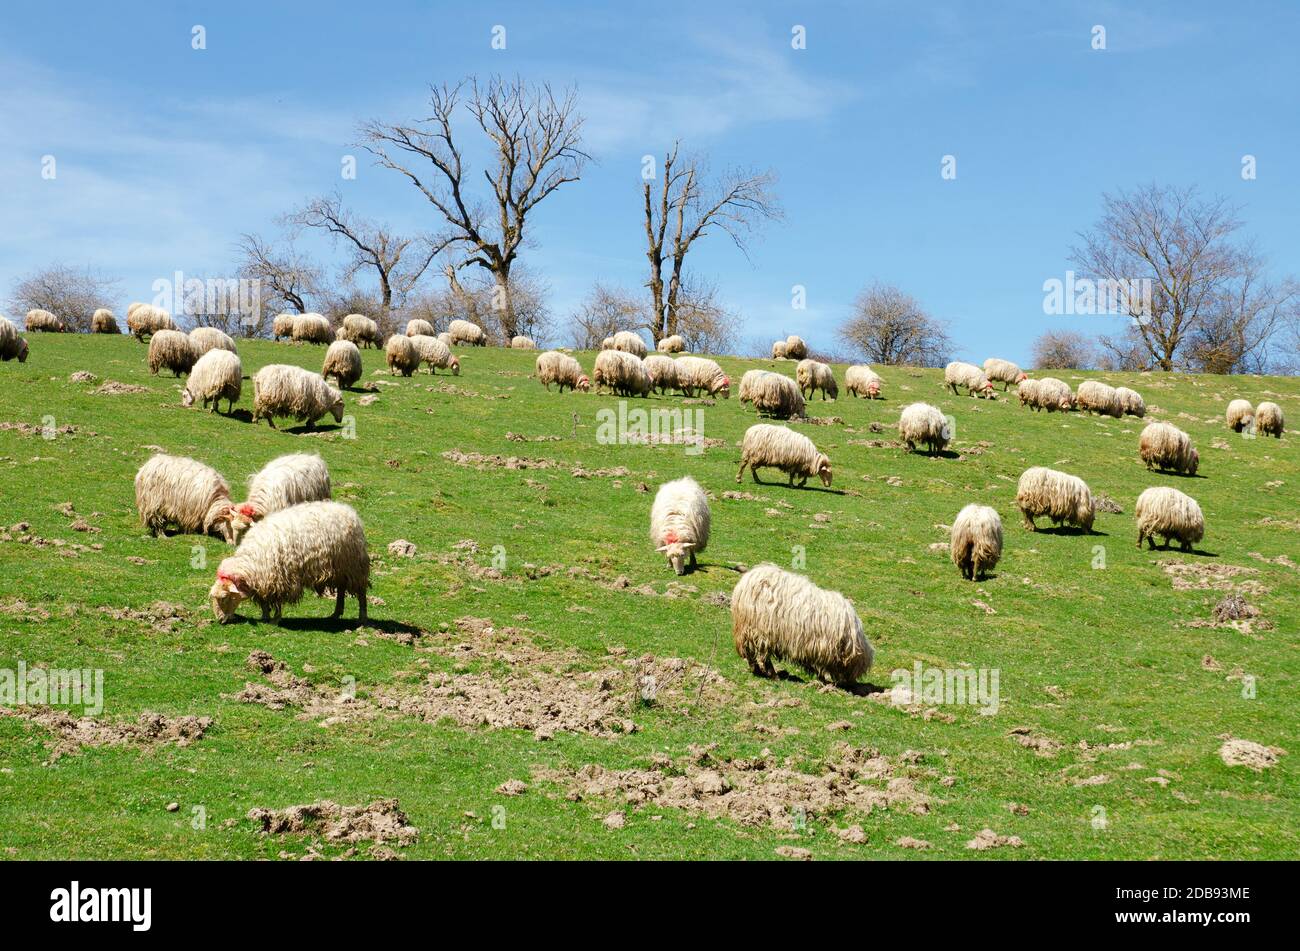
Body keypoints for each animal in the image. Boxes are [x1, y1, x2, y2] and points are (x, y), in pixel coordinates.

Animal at [208, 501, 369, 624]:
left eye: (224, 598)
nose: (220, 621)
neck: (252, 563)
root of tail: (349, 511)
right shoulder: (264, 578)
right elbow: (264, 599)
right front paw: (265, 616)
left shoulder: (279, 577)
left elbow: (277, 600)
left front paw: (275, 619)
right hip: (340, 569)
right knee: (341, 590)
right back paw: (336, 614)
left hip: (353, 565)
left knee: (361, 592)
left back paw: (362, 618)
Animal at [730, 563, 873, 686]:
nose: (851, 685)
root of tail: (747, 579)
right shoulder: (820, 646)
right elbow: (818, 666)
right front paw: (822, 680)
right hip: (760, 631)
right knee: (761, 655)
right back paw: (772, 675)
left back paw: (758, 671)